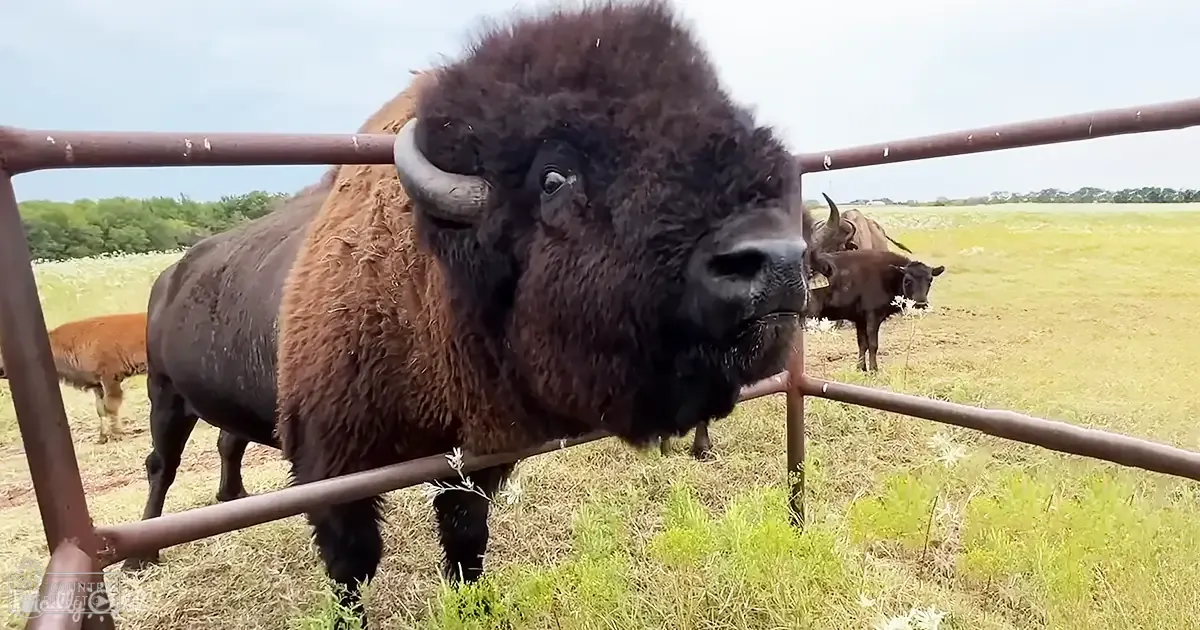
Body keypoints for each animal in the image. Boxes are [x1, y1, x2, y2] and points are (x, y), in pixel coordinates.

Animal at [0, 311, 148, 444]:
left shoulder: (111, 378)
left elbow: (111, 407)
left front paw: (117, 434)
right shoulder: (97, 385)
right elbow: (101, 410)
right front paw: (102, 438)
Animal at [126, 3, 820, 626]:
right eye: (554, 177)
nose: (776, 260)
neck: (429, 284)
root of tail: (171, 275)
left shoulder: (474, 458)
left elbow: (466, 540)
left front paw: (476, 607)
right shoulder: (330, 467)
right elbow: (352, 565)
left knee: (226, 441)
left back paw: (229, 500)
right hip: (164, 393)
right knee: (162, 463)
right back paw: (141, 557)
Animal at [807, 249, 944, 372]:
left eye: (930, 280)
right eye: (907, 281)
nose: (921, 303)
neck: (887, 278)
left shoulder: (860, 319)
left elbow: (862, 344)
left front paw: (861, 369)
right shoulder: (873, 316)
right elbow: (873, 345)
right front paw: (874, 370)